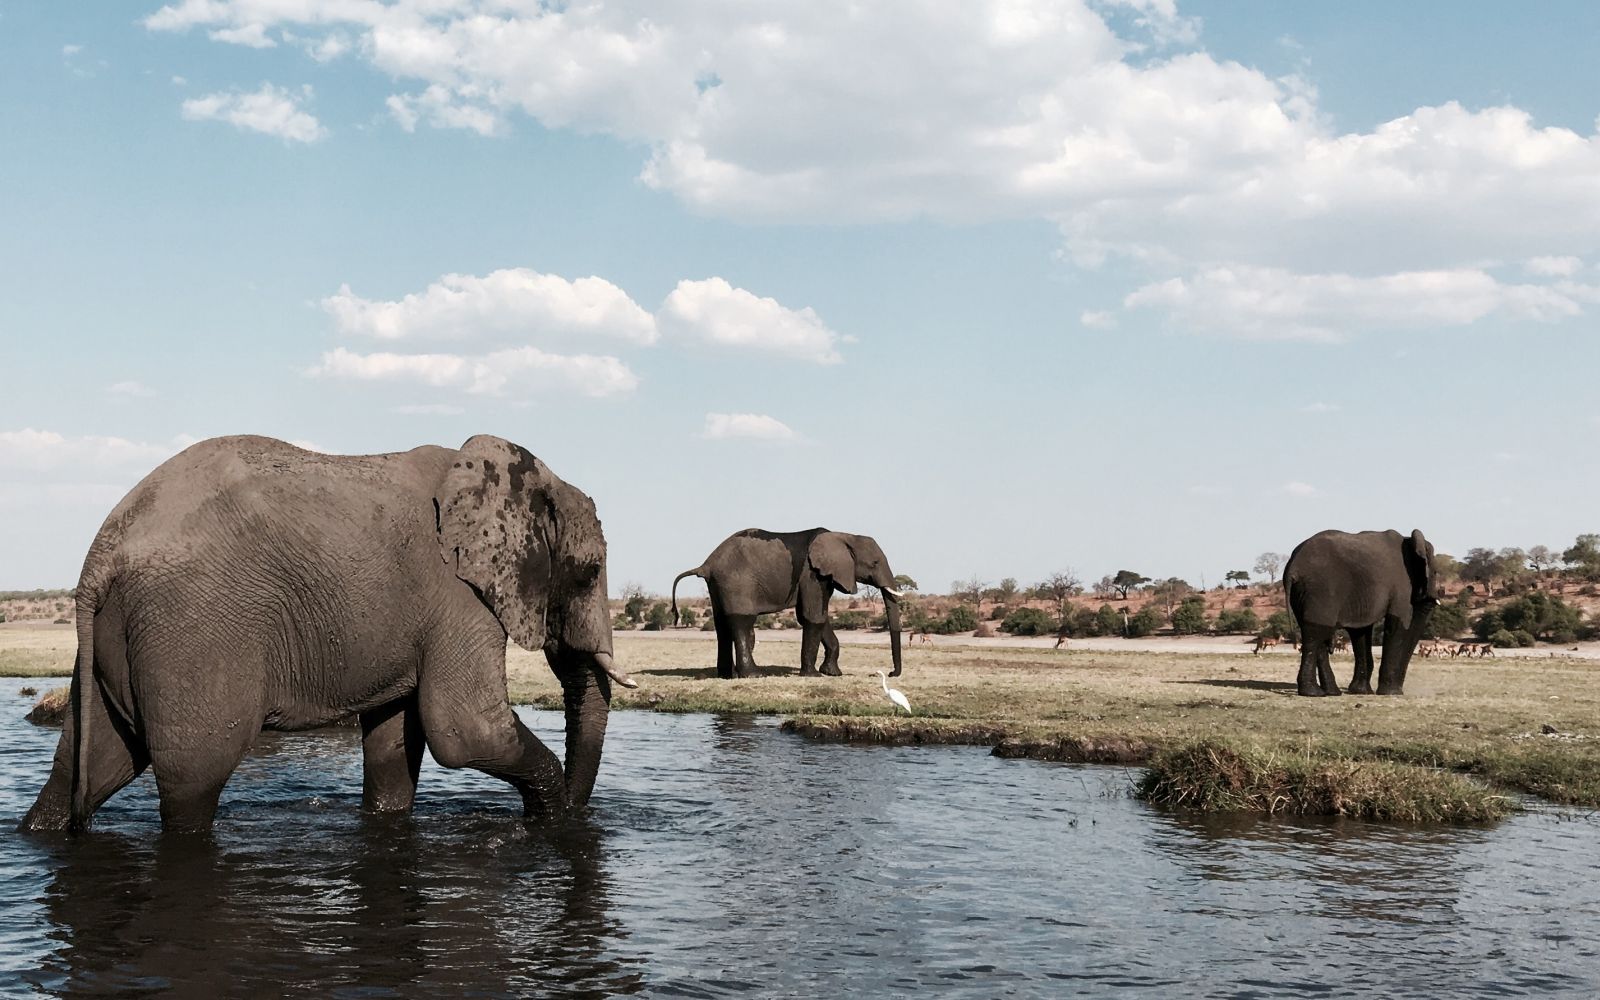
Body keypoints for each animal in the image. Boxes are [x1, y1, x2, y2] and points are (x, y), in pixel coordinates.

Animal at [18, 432, 633, 832]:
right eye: (590, 572)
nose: (581, 816)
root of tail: (102, 550)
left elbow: (393, 743)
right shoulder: (459, 596)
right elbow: (466, 730)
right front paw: (553, 820)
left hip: (117, 638)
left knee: (88, 765)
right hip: (191, 629)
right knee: (192, 782)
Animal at [668, 531, 908, 678]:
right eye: (874, 563)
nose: (890, 673)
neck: (843, 535)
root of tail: (706, 564)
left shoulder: (824, 576)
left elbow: (816, 616)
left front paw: (832, 673)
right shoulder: (813, 573)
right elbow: (814, 616)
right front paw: (813, 675)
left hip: (718, 585)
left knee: (722, 626)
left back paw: (728, 676)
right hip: (736, 582)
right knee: (741, 622)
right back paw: (753, 675)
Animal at [1280, 528, 1446, 697]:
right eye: (1436, 572)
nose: (1400, 690)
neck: (1410, 541)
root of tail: (1292, 568)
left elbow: (1360, 632)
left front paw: (1361, 692)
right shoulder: (1402, 585)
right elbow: (1398, 625)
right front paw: (1390, 693)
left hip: (1302, 592)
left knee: (1317, 633)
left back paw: (1332, 692)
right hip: (1320, 590)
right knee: (1315, 634)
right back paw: (1313, 693)